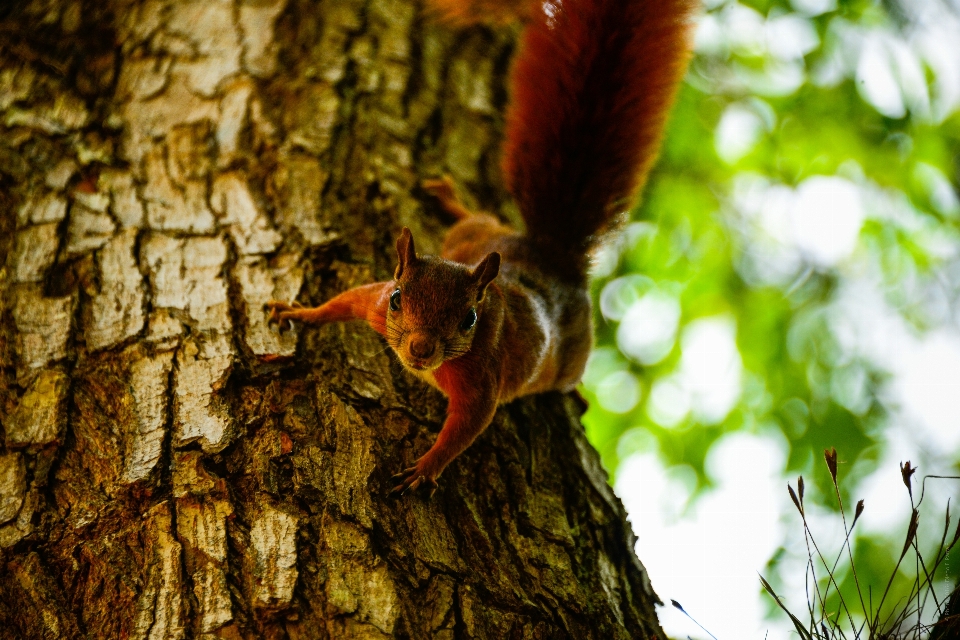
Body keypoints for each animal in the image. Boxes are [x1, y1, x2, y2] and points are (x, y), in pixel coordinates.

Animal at [266, 0, 692, 496]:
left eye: (469, 318)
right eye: (397, 299)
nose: (420, 350)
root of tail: (551, 254)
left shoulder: (482, 378)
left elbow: (466, 428)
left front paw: (425, 468)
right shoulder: (373, 302)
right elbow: (344, 301)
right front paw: (300, 313)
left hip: (573, 351)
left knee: (568, 374)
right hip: (474, 235)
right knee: (476, 217)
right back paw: (448, 198)